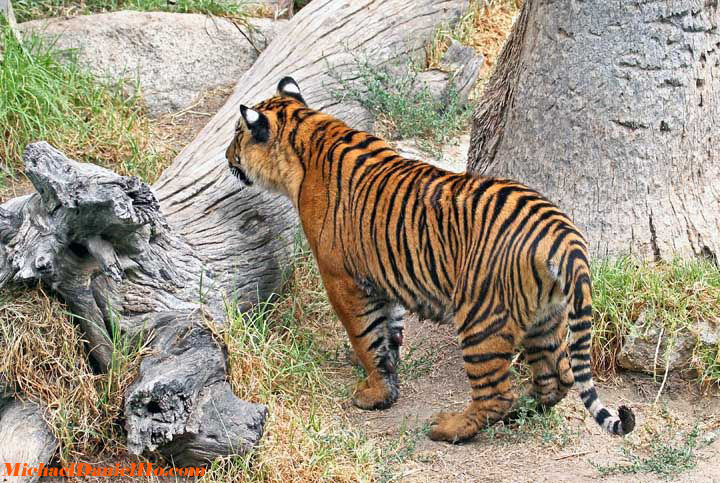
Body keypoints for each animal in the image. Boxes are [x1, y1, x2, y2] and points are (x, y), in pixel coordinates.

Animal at [226, 77, 636, 444]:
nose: (227, 158)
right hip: (546, 317)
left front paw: (374, 394)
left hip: (480, 319)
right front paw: (389, 376)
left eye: (236, 135)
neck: (310, 132)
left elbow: (364, 338)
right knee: (557, 377)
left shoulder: (342, 279)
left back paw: (449, 428)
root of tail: (562, 234)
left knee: (497, 394)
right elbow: (387, 333)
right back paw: (524, 410)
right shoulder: (382, 275)